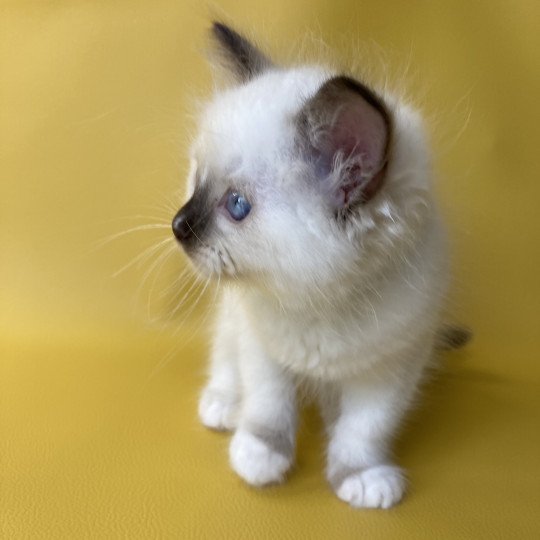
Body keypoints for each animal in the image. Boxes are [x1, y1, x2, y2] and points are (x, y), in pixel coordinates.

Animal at [173, 22, 468, 510]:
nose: (177, 226)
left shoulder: (393, 365)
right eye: (196, 180)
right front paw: (259, 456)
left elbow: (364, 429)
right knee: (225, 353)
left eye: (236, 206)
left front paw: (360, 476)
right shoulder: (261, 345)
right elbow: (268, 403)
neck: (319, 302)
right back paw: (223, 404)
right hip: (233, 321)